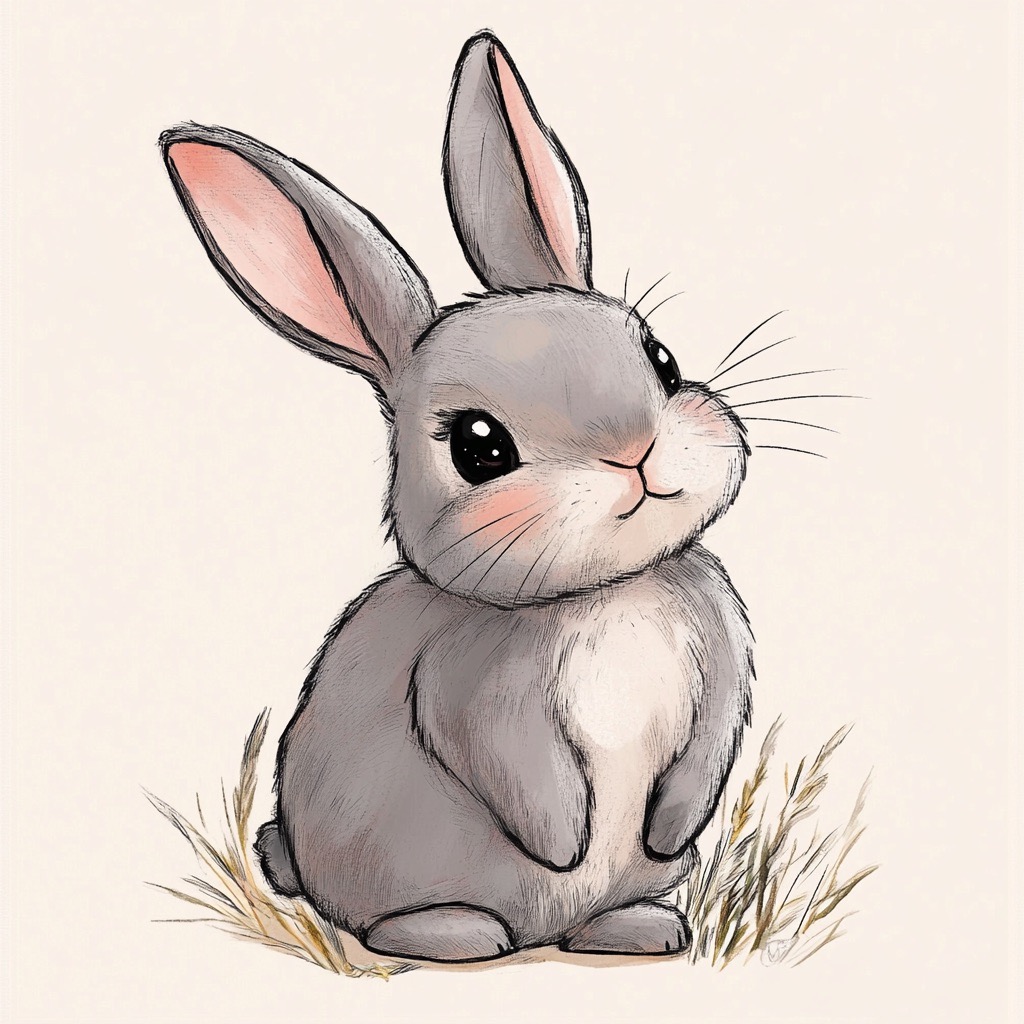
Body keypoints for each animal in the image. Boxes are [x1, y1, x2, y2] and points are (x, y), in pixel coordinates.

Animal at [159, 30, 754, 963]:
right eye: (479, 447)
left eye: (661, 358)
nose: (636, 454)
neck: (604, 592)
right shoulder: (471, 690)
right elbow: (520, 774)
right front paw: (562, 845)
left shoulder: (721, 650)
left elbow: (706, 749)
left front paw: (663, 834)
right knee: (388, 918)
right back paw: (461, 933)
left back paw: (638, 926)